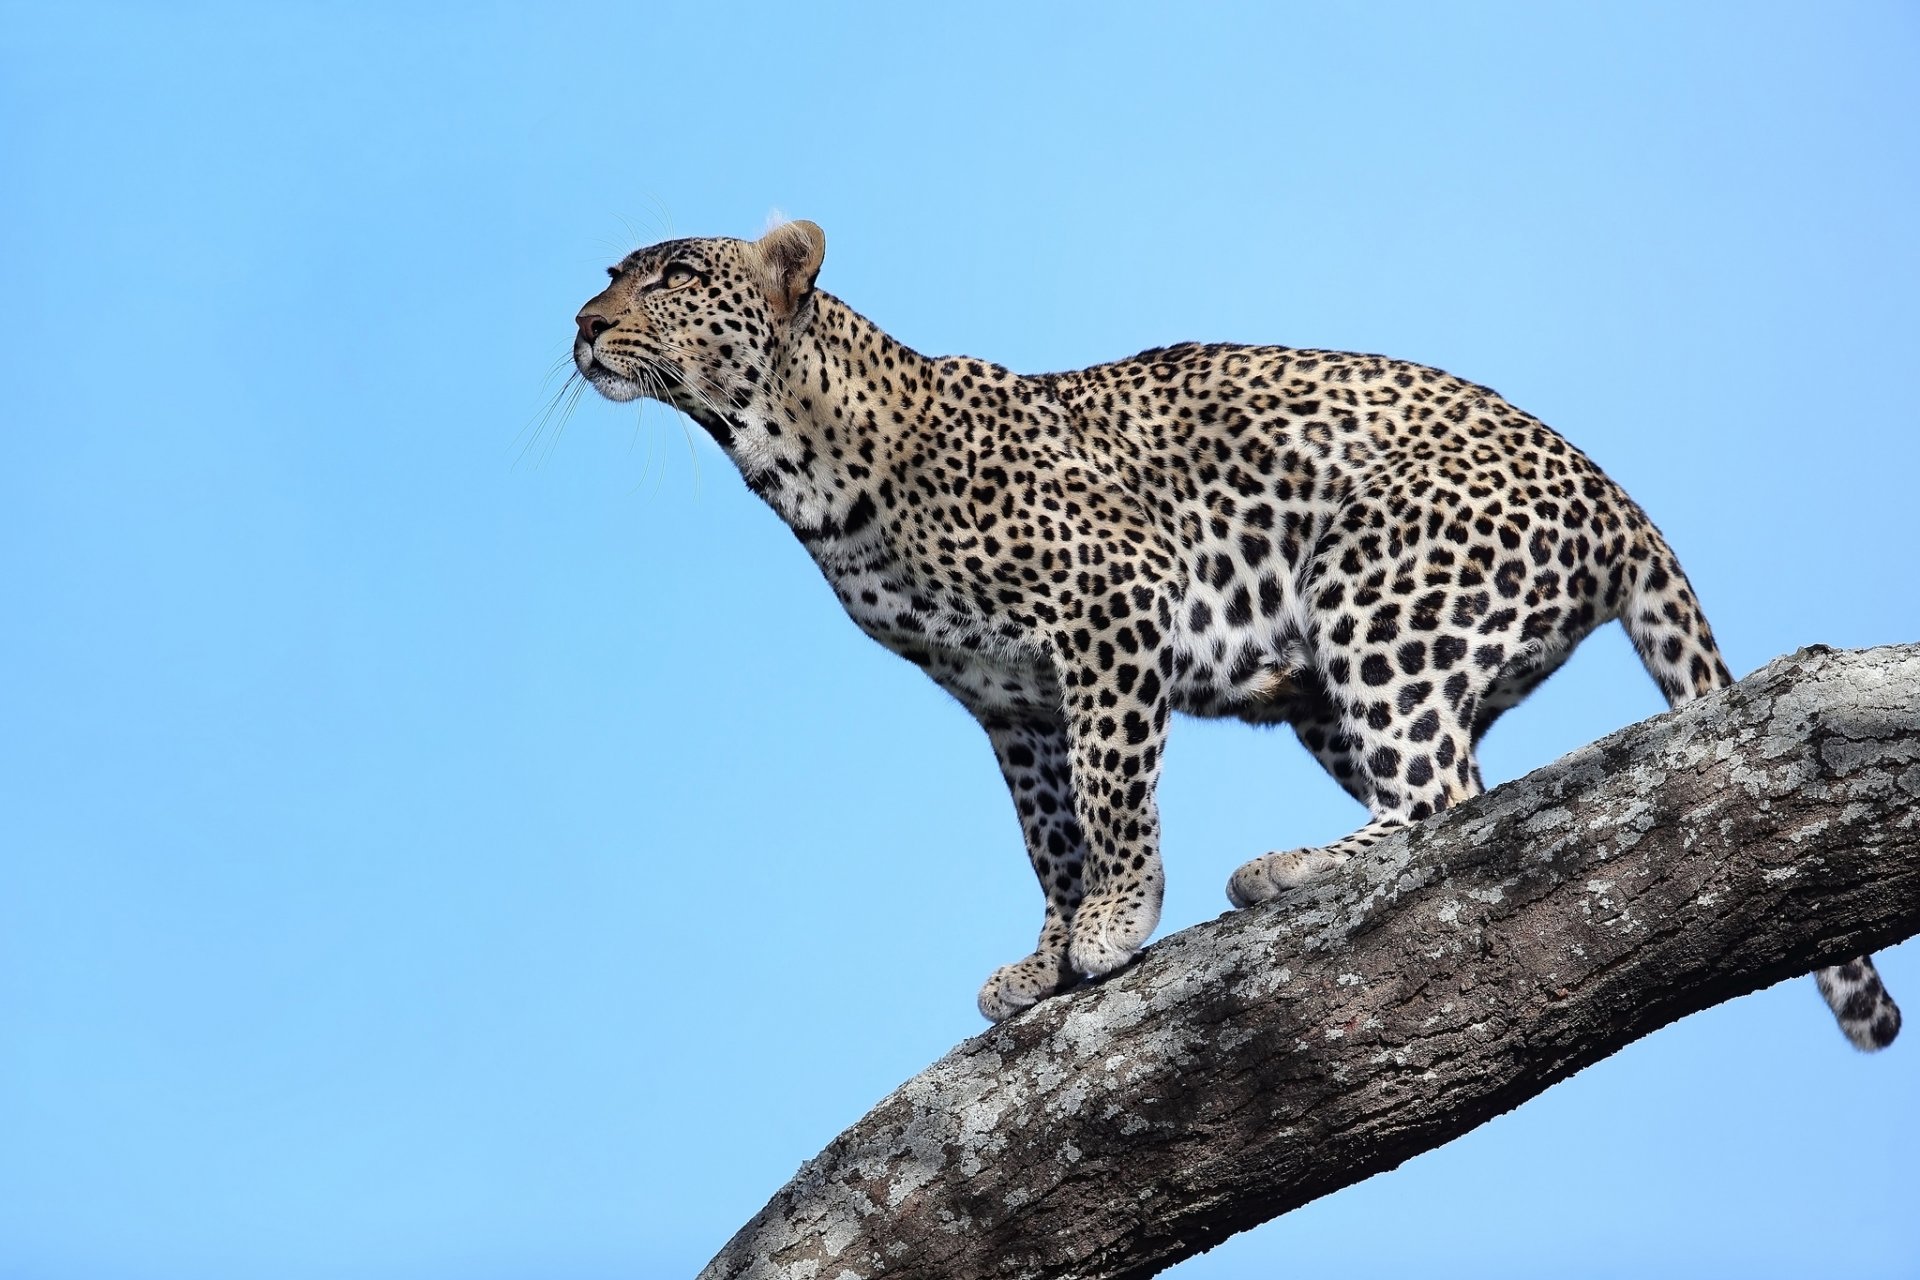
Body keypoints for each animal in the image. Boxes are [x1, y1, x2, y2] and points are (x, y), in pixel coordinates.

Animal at [571, 219, 1900, 1050]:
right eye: (614, 271)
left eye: (675, 273)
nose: (581, 323)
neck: (796, 458)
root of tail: (1612, 489)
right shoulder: (1008, 702)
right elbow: (1046, 834)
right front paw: (1047, 954)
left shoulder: (1113, 603)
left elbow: (1110, 791)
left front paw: (1118, 920)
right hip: (1343, 679)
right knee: (1466, 789)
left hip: (1376, 586)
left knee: (1439, 795)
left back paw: (1291, 867)